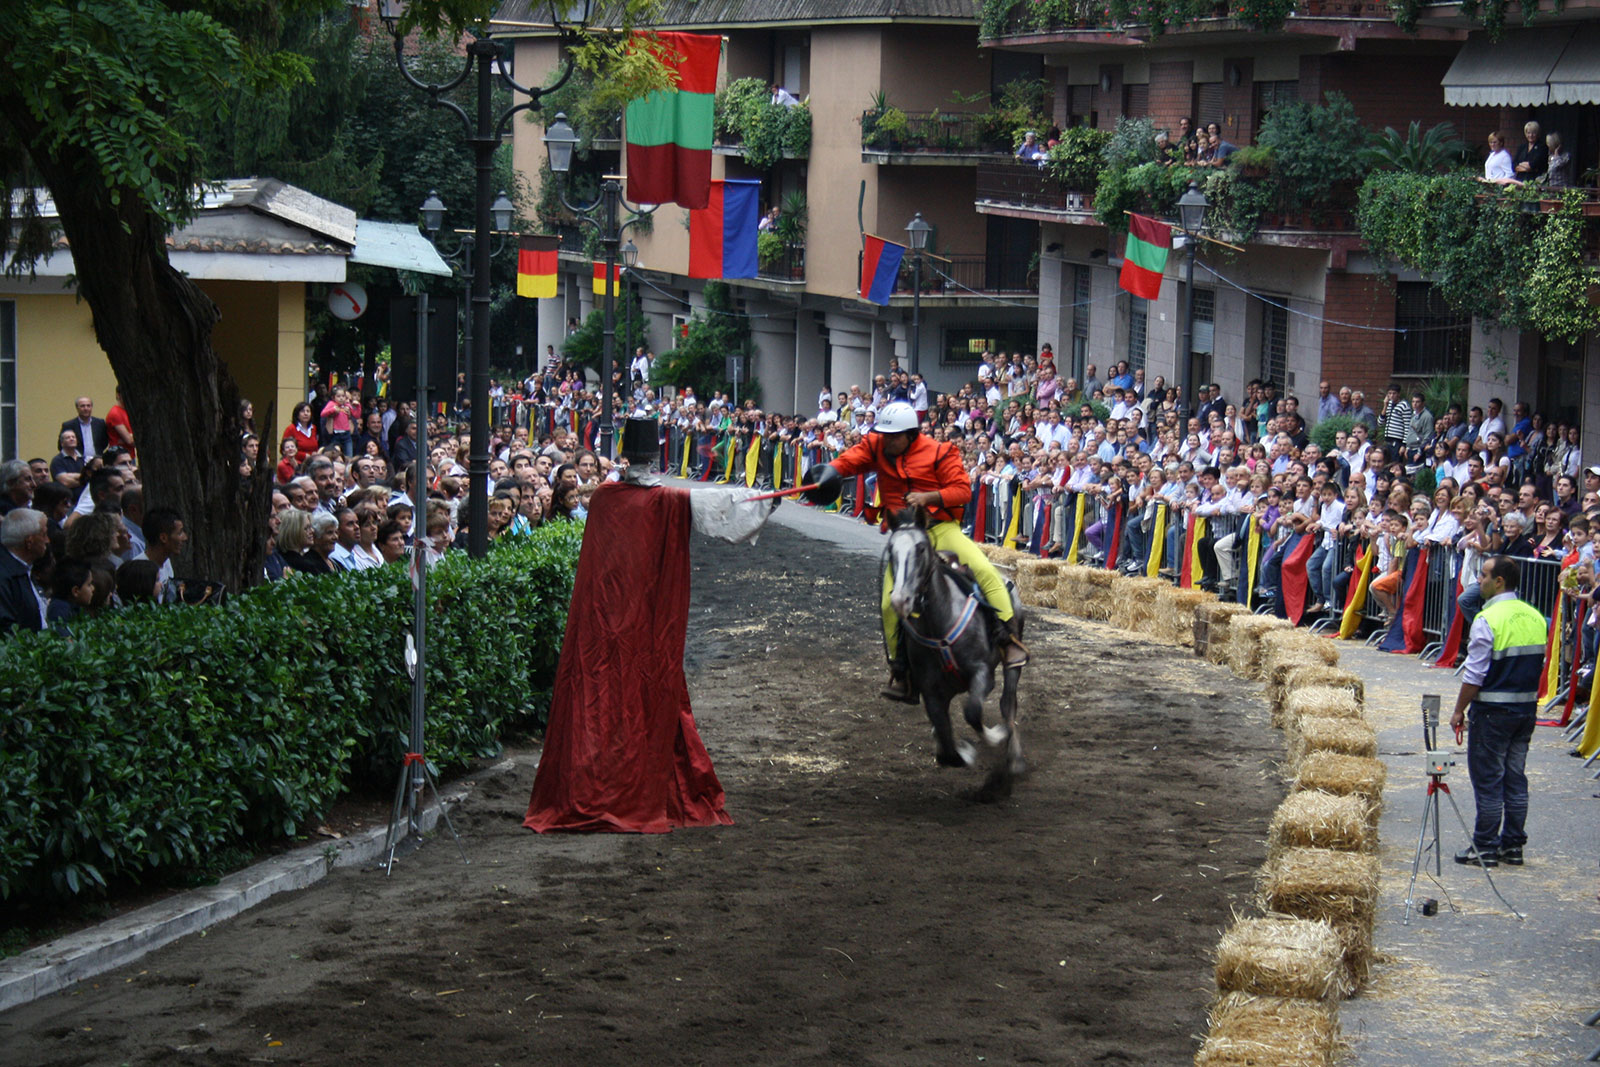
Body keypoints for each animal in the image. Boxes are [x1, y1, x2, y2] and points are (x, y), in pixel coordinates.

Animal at [889, 505, 1024, 790]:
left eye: (921, 548)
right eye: (891, 550)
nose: (900, 600)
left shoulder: (982, 672)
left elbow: (972, 713)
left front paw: (994, 737)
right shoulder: (929, 688)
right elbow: (945, 742)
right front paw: (959, 751)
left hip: (1012, 664)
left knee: (1008, 704)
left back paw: (1015, 758)